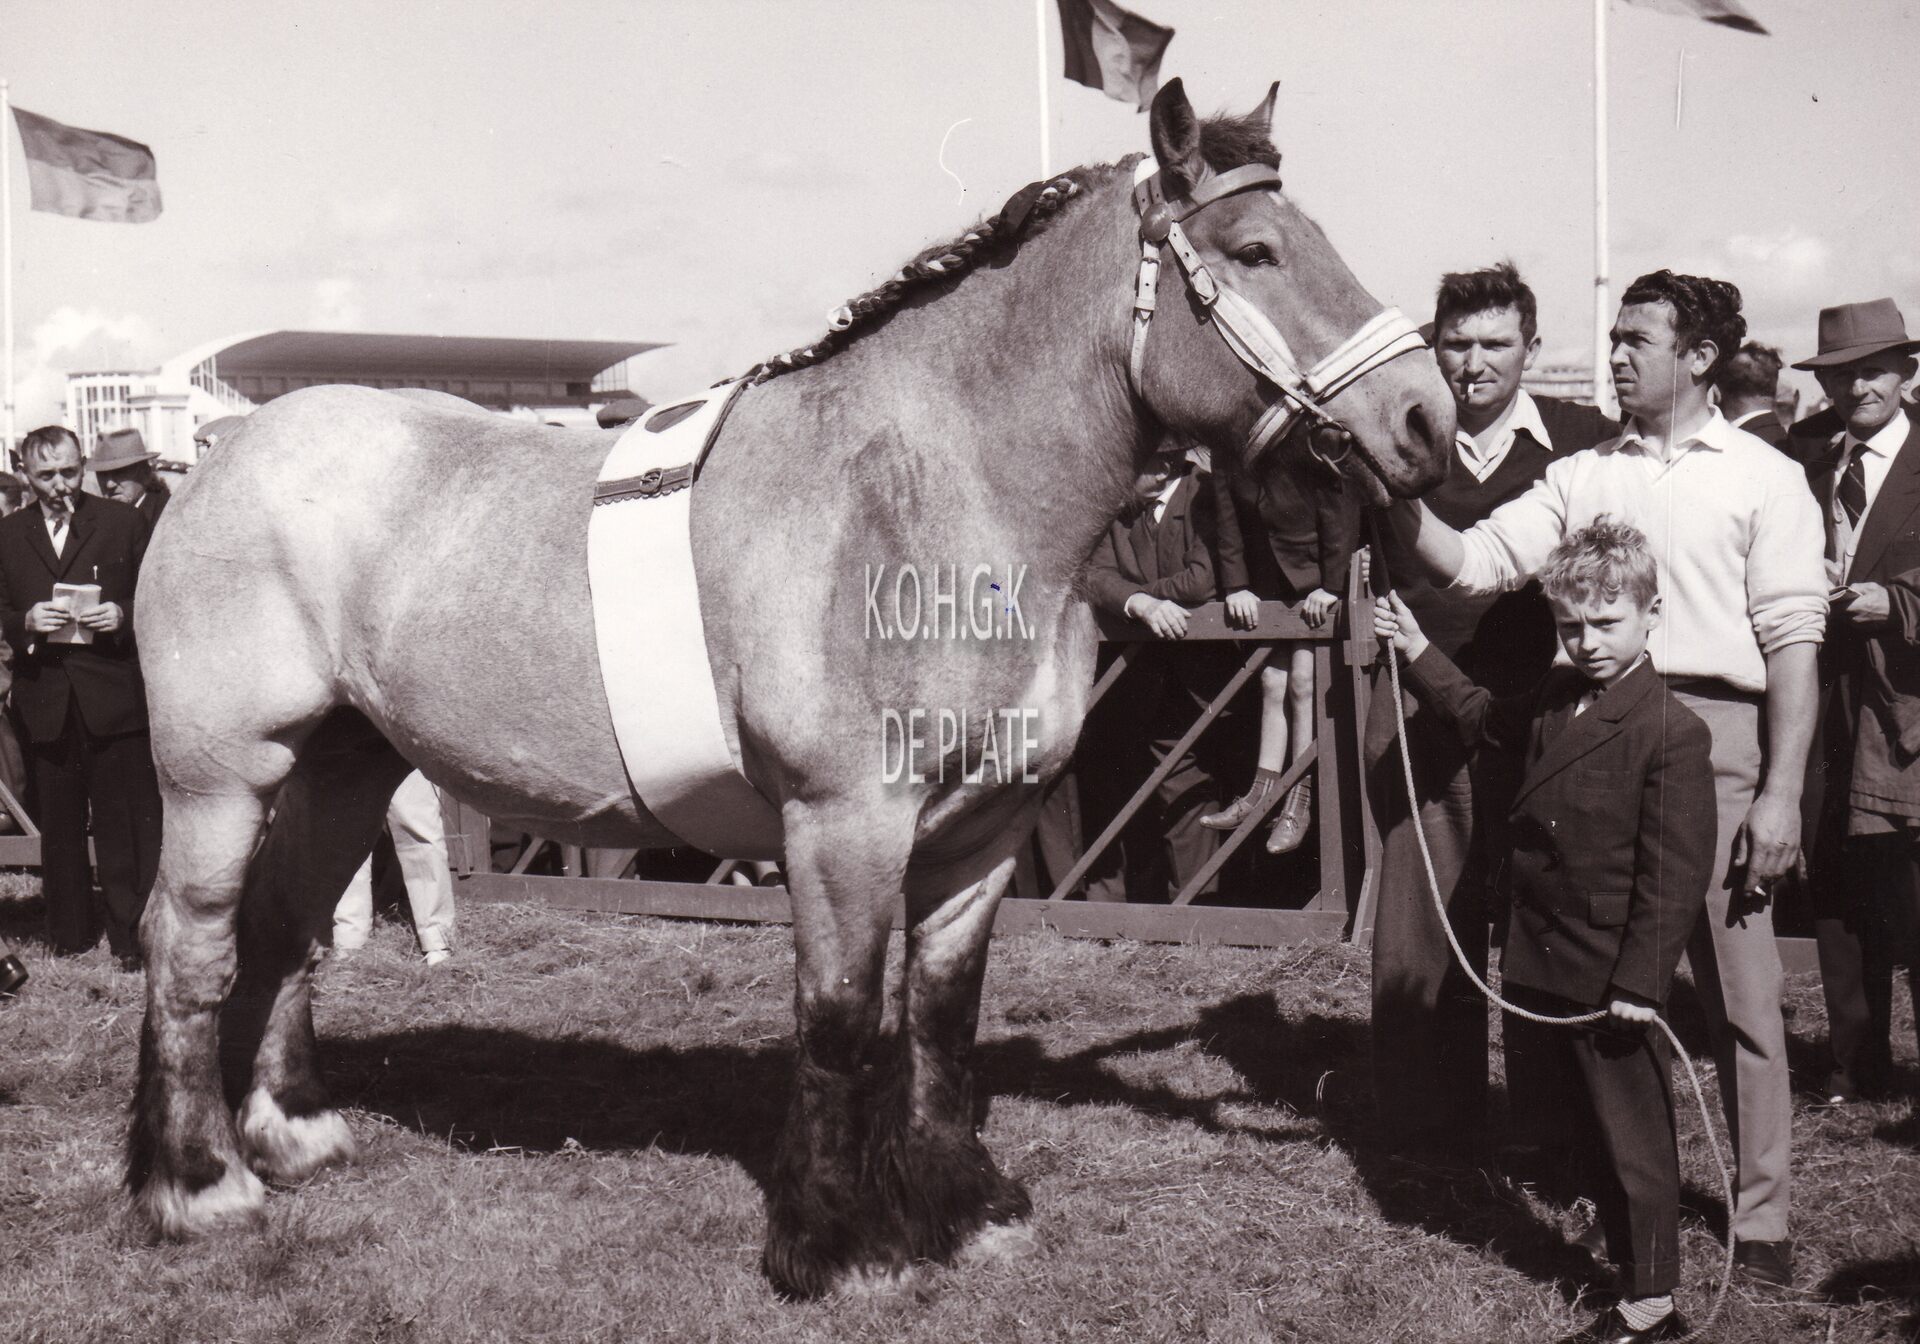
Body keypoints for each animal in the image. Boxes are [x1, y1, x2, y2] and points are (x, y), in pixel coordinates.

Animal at [126, 79, 1453, 1297]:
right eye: (1256, 250)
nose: (1426, 419)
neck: (926, 499)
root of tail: (221, 455)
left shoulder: (984, 829)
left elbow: (938, 1016)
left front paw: (966, 1208)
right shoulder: (841, 825)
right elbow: (840, 1020)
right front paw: (838, 1242)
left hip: (348, 761)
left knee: (281, 927)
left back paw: (293, 1135)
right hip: (219, 776)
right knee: (188, 943)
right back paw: (196, 1186)